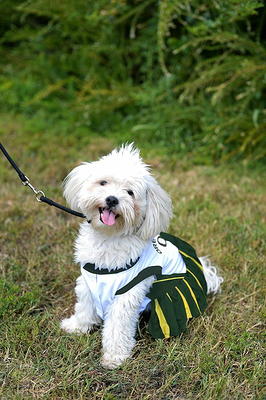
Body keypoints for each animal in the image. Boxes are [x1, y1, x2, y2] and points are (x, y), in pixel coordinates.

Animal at [60, 143, 222, 368]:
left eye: (130, 192)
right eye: (103, 182)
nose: (112, 199)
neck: (109, 237)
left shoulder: (126, 295)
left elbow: (117, 327)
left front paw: (114, 357)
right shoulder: (88, 282)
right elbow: (84, 307)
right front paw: (77, 326)